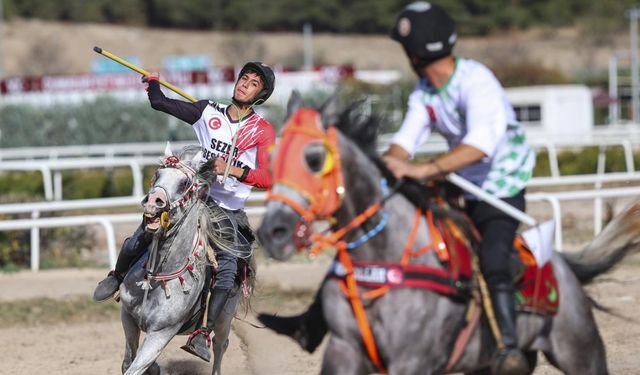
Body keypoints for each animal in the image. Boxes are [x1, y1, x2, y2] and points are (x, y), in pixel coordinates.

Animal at [119, 146, 249, 375]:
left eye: (184, 183)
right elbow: (128, 362)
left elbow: (134, 369)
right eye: (157, 175)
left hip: (225, 318)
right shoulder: (128, 316)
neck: (157, 277)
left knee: (220, 345)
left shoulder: (161, 333)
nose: (153, 201)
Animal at [256, 94, 640, 375]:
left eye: (314, 158)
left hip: (581, 353)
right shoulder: (343, 351)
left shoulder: (412, 360)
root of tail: (560, 263)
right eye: (272, 160)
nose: (272, 232)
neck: (384, 262)